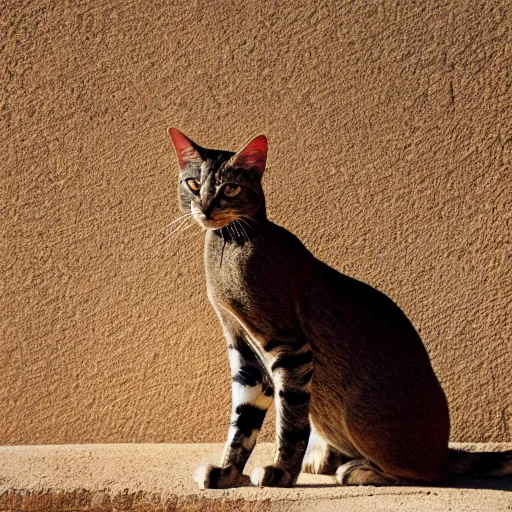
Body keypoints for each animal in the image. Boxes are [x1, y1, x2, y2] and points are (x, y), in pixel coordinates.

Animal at [168, 128, 512, 488]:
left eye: (230, 188)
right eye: (194, 184)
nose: (206, 208)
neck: (228, 250)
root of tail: (444, 449)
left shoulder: (290, 348)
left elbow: (290, 423)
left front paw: (281, 473)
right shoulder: (245, 355)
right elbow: (242, 425)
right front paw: (229, 473)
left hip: (360, 413)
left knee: (429, 474)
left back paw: (359, 469)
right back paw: (325, 459)